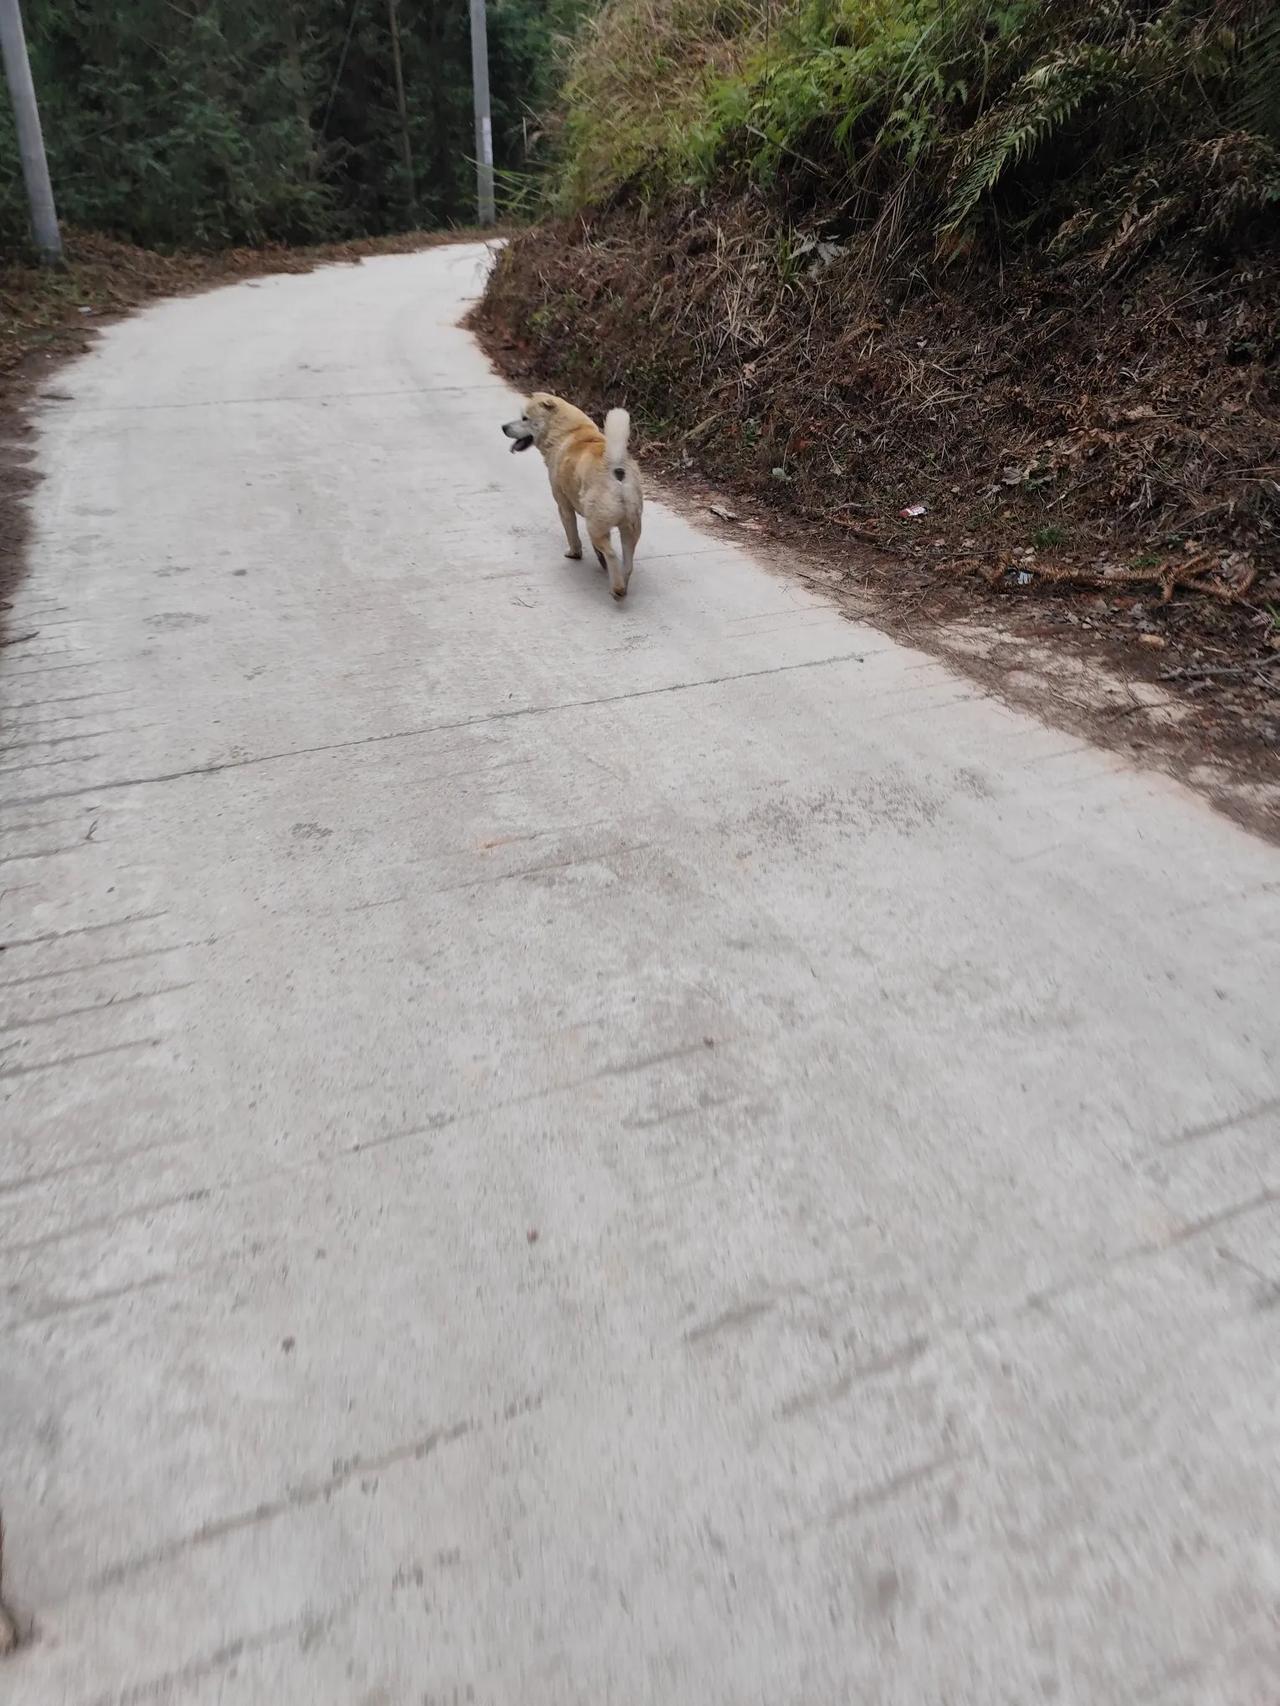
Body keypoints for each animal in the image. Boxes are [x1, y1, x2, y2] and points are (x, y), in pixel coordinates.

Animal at [501, 392, 641, 600]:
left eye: (524, 418)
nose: (503, 427)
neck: (569, 432)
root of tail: (616, 467)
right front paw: (598, 558)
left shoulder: (563, 506)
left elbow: (572, 533)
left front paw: (574, 553)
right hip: (630, 528)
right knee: (628, 562)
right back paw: (622, 584)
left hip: (595, 525)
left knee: (612, 554)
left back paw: (616, 588)